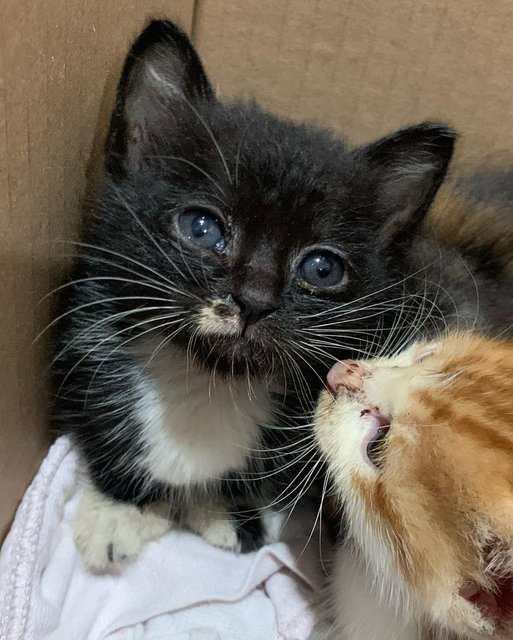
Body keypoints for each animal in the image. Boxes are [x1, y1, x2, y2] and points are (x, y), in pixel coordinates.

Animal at [52, 18, 500, 568]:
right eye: (201, 228)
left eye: (322, 268)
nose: (255, 300)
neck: (209, 380)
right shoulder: (84, 334)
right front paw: (120, 509)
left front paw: (232, 509)